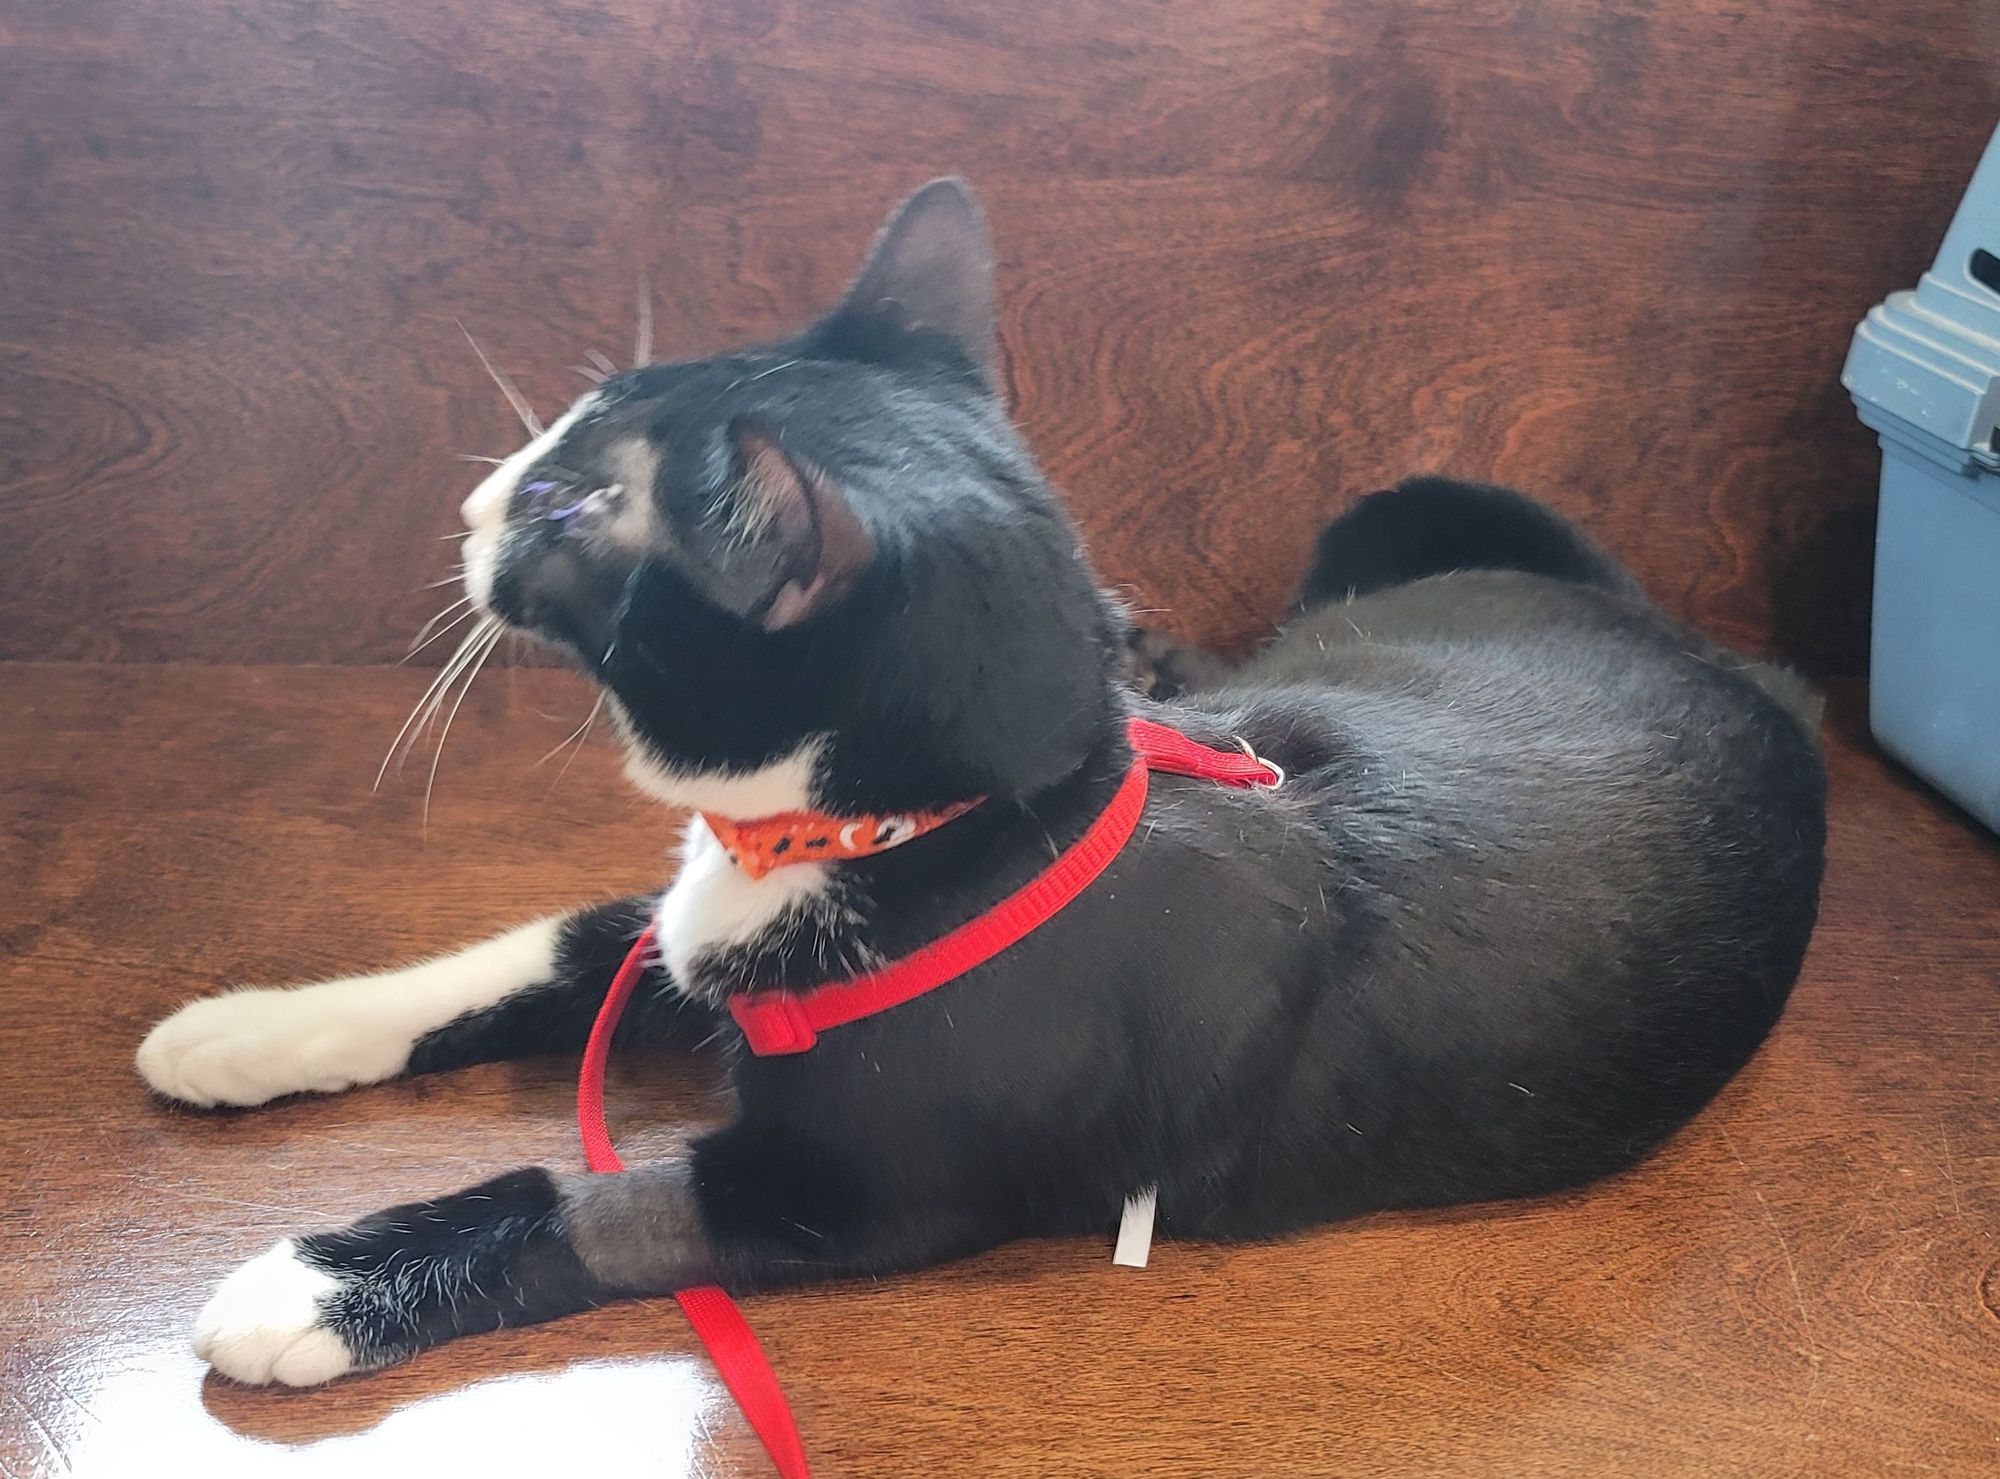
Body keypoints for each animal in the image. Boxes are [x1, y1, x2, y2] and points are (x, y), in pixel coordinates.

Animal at [141, 175, 1832, 1383]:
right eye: (558, 436)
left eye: (570, 501)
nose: (480, 497)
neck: (910, 830)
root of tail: (1747, 671)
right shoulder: (679, 925)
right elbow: (527, 949)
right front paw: (249, 1028)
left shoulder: (850, 1186)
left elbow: (589, 1202)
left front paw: (316, 1284)